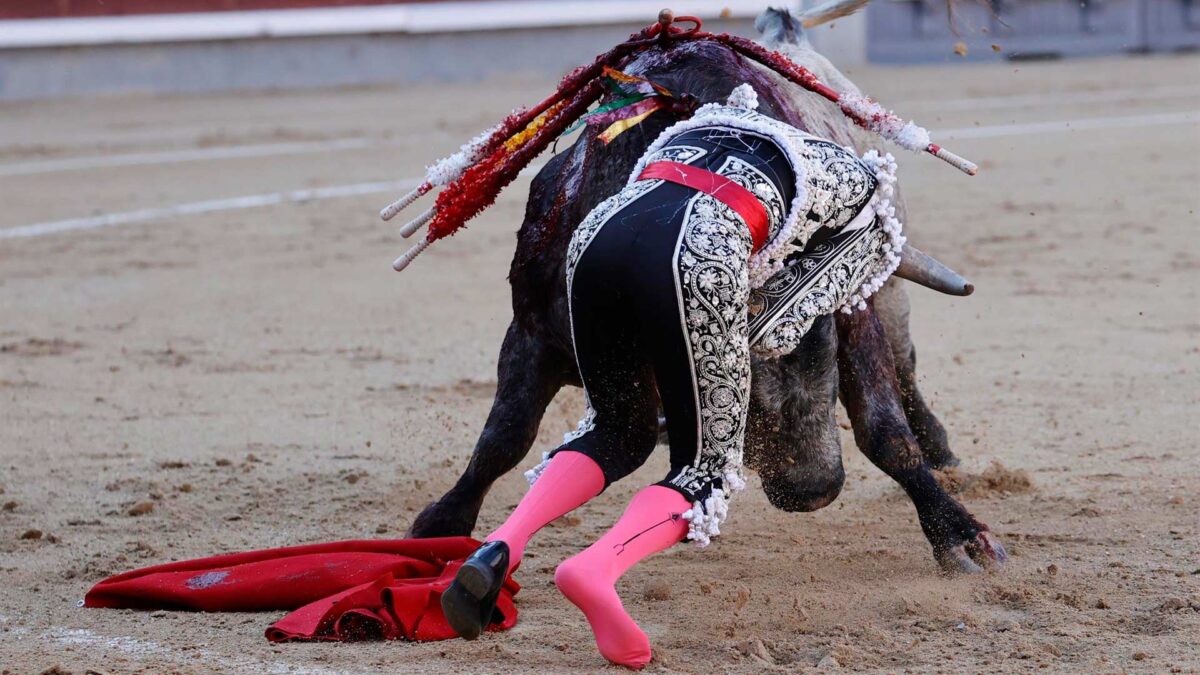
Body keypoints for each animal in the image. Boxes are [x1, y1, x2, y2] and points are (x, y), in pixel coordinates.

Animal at [408, 39, 1008, 569]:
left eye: (831, 360)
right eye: (748, 398)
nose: (813, 490)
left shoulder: (855, 316)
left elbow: (886, 433)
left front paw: (957, 535)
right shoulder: (532, 330)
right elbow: (504, 438)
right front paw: (441, 526)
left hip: (891, 296)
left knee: (905, 370)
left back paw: (942, 452)